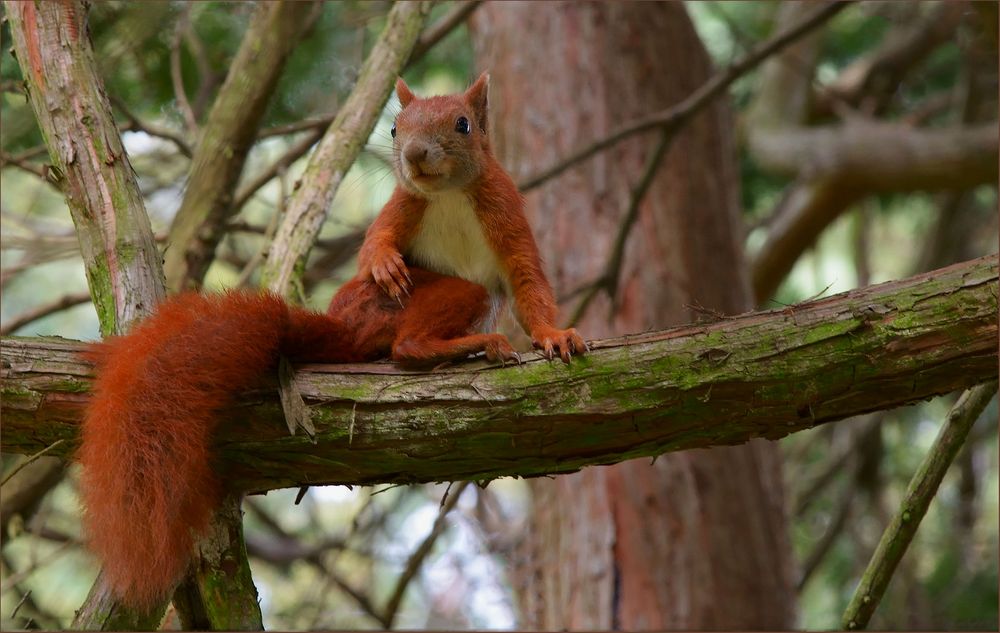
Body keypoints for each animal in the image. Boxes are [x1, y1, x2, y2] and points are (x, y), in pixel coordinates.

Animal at [80, 73, 584, 608]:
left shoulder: (505, 210)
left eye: (463, 124)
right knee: (405, 347)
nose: (414, 155)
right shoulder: (403, 205)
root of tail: (347, 325)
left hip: (469, 295)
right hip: (410, 299)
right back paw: (470, 344)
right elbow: (372, 245)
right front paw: (383, 261)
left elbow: (529, 285)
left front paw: (555, 335)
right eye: (395, 128)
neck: (448, 193)